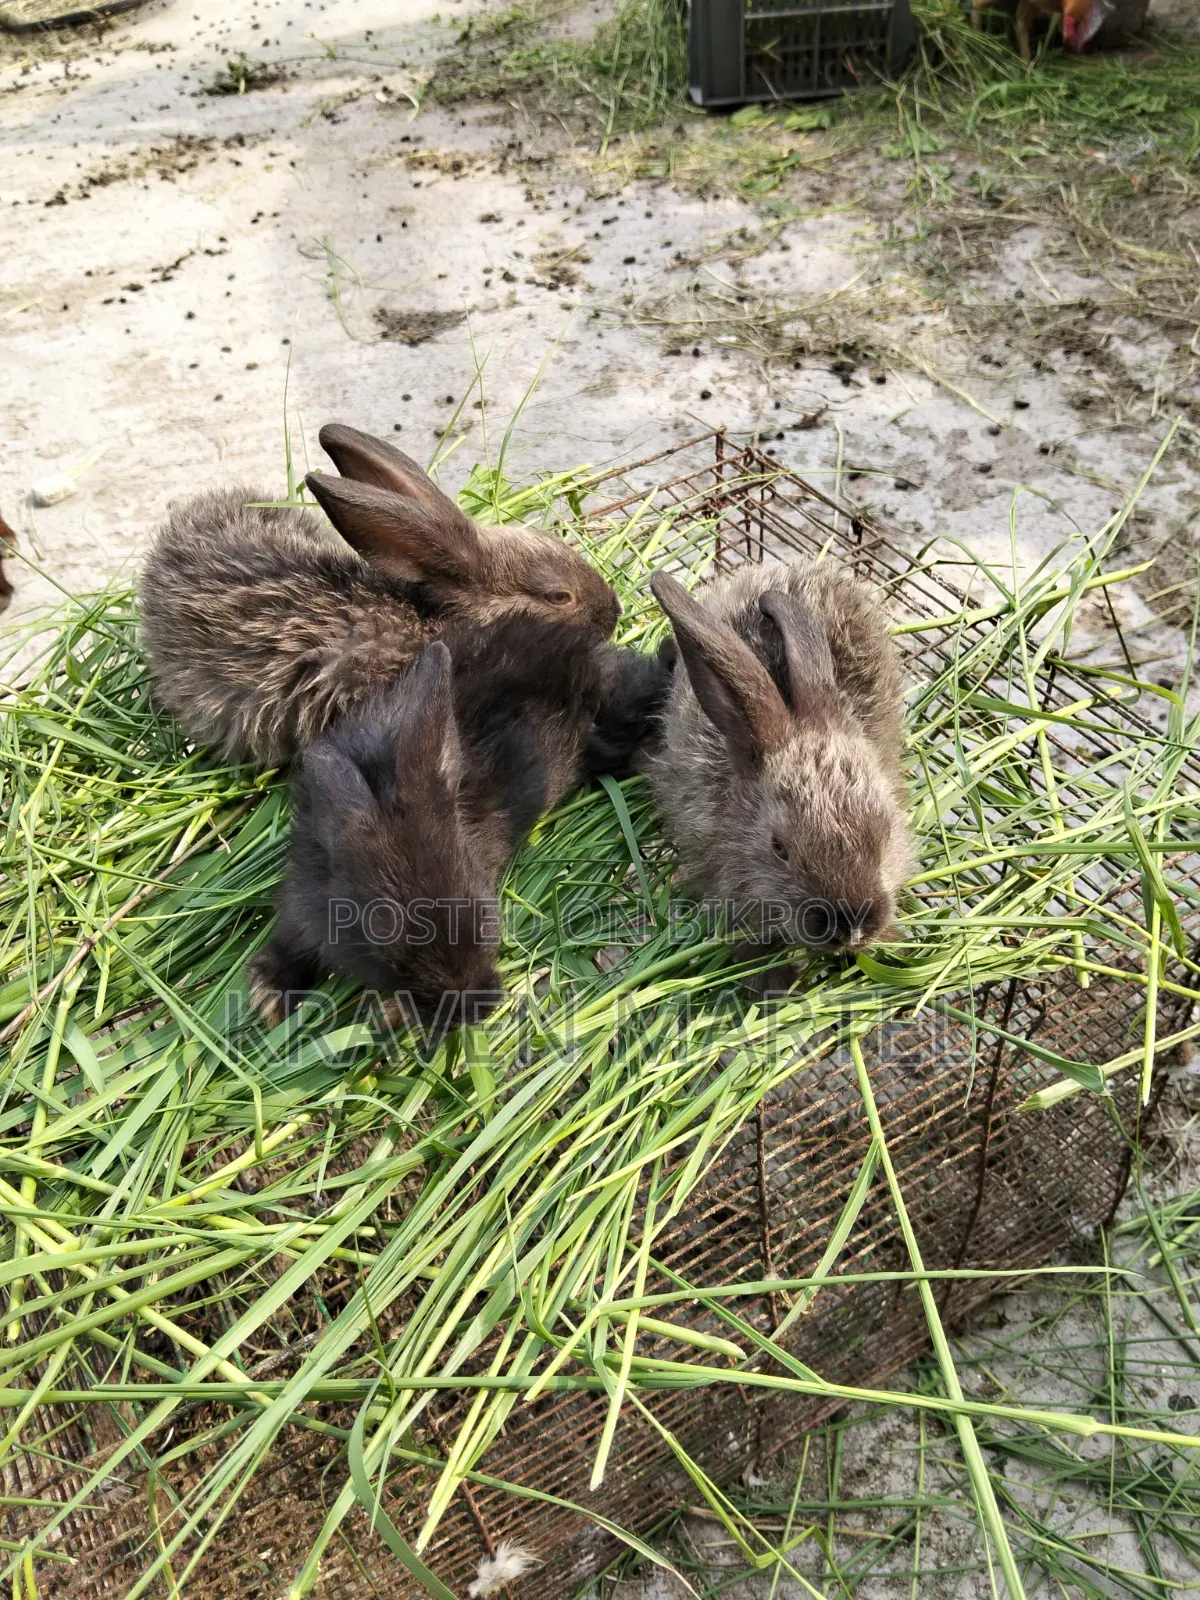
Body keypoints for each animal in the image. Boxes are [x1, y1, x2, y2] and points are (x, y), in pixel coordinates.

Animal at [248, 614, 670, 1031]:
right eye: (393, 960)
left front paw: (388, 1015)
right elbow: (291, 933)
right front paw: (269, 994)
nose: (480, 1007)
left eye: (485, 916)